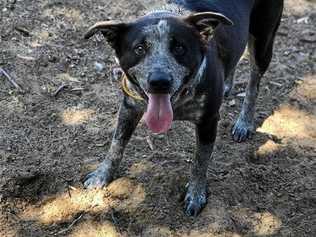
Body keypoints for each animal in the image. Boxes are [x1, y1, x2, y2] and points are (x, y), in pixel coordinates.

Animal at [82, 0, 282, 216]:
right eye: (139, 48)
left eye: (179, 47)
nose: (159, 82)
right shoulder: (129, 107)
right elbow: (116, 144)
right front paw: (102, 175)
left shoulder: (208, 120)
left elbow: (200, 160)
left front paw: (195, 195)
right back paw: (227, 85)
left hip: (263, 42)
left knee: (254, 82)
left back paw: (244, 122)